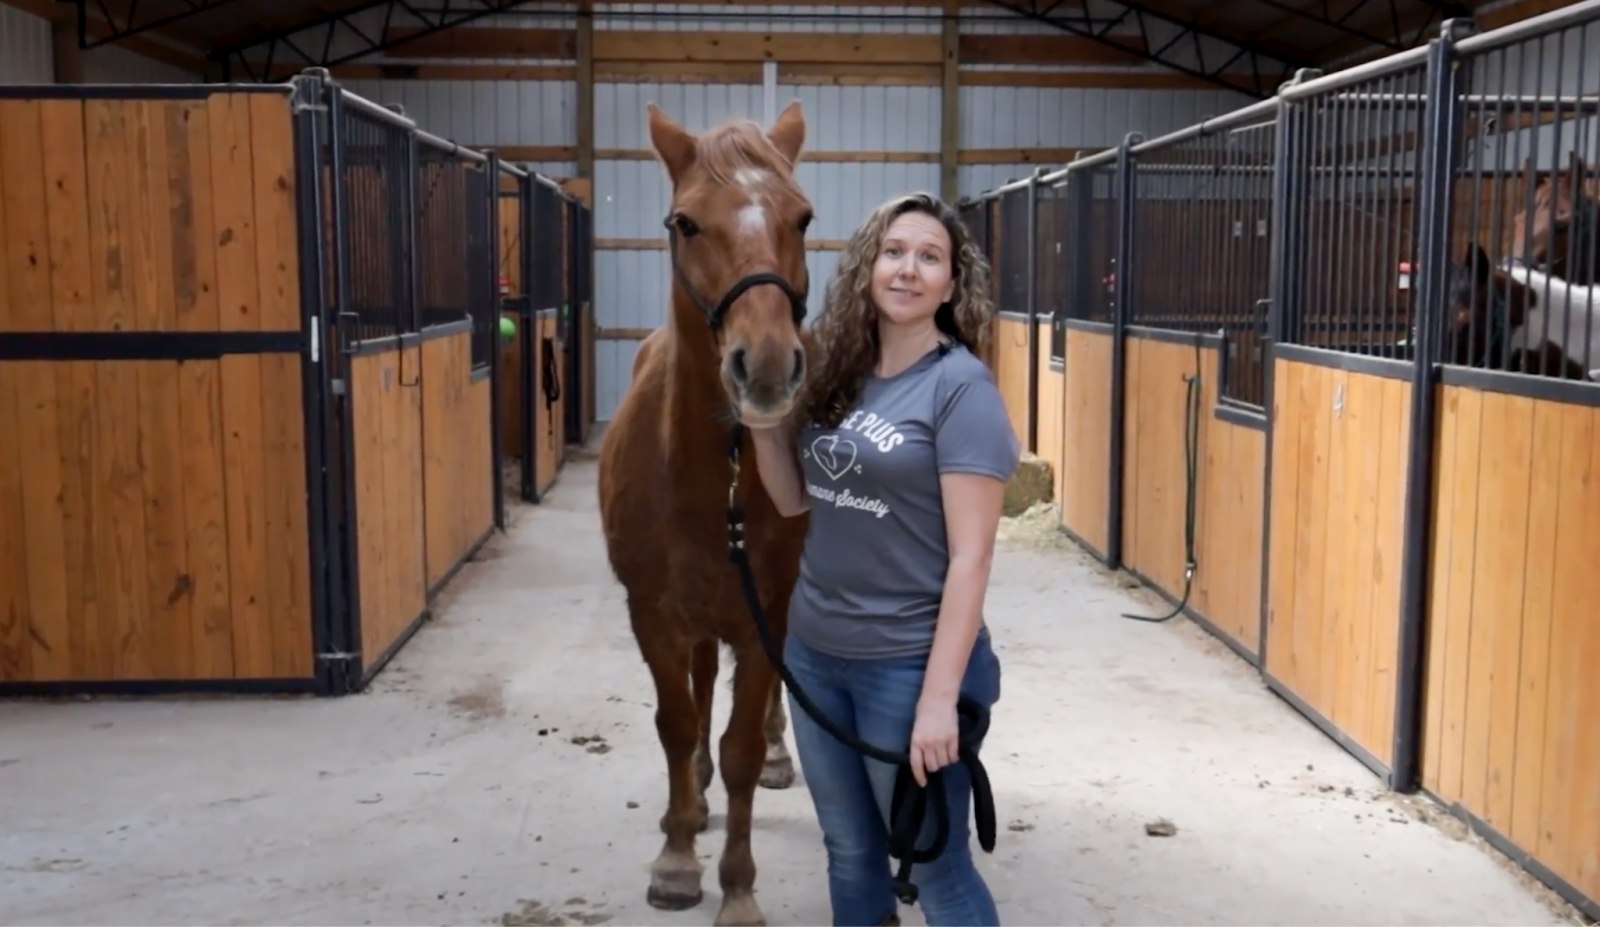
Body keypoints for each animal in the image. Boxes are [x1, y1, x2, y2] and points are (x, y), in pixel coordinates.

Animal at [596, 100, 815, 927]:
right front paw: (678, 855)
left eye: (803, 218)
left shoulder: (764, 613)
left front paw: (739, 888)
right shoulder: (652, 612)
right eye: (685, 222)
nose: (768, 366)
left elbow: (742, 746)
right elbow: (676, 722)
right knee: (695, 690)